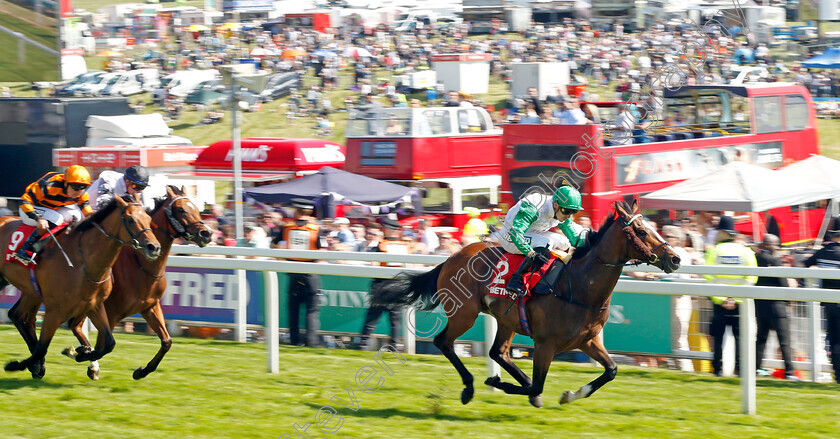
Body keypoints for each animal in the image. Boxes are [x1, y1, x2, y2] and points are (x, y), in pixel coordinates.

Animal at [0, 194, 161, 380]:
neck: (83, 263)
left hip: (30, 292)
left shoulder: (94, 305)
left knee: (18, 316)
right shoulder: (54, 311)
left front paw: (81, 353)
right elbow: (42, 348)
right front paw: (15, 365)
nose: (154, 247)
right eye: (130, 220)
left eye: (149, 218)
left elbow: (109, 344)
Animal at [67, 184, 215, 380]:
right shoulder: (111, 313)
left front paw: (141, 371)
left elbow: (167, 341)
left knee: (75, 326)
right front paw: (84, 357)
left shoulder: (150, 306)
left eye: (197, 209)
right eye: (181, 209)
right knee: (75, 326)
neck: (142, 264)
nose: (206, 233)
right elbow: (103, 346)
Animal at [374, 201, 684, 408]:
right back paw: (470, 387)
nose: (675, 258)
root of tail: (452, 257)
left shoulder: (588, 340)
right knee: (444, 342)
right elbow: (538, 384)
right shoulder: (546, 344)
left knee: (499, 352)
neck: (579, 287)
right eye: (641, 232)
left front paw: (570, 395)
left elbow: (611, 370)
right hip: (465, 313)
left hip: (506, 318)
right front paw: (499, 383)